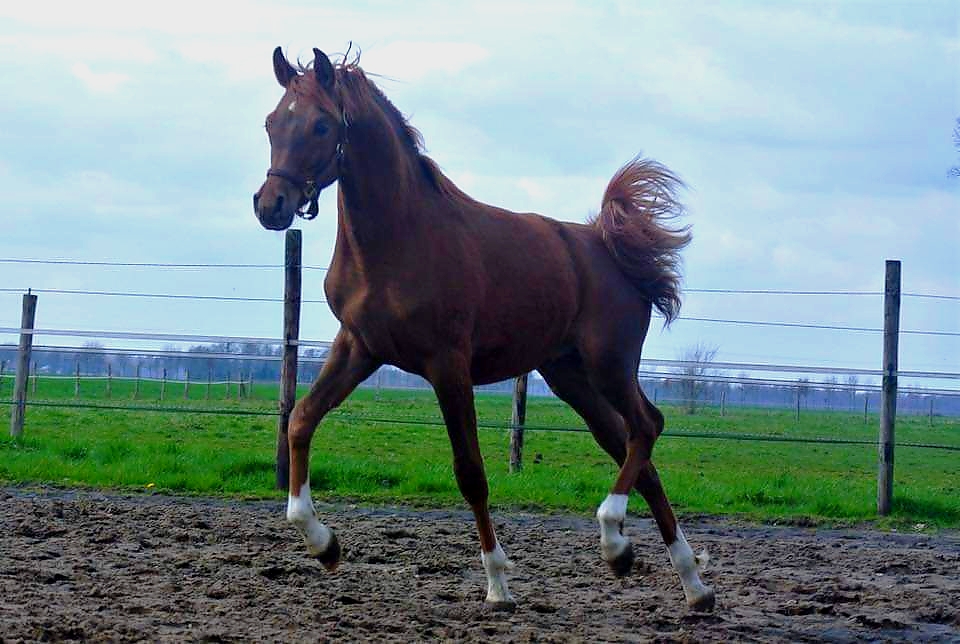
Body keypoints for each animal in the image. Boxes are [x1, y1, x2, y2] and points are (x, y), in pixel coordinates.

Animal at [253, 47, 714, 611]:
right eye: (273, 121)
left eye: (321, 125)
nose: (270, 205)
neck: (398, 239)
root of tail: (613, 249)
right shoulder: (359, 347)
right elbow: (300, 420)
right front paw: (323, 543)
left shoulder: (447, 365)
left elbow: (470, 472)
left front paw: (498, 583)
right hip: (570, 377)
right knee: (634, 450)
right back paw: (686, 582)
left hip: (609, 364)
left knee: (647, 427)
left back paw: (616, 540)